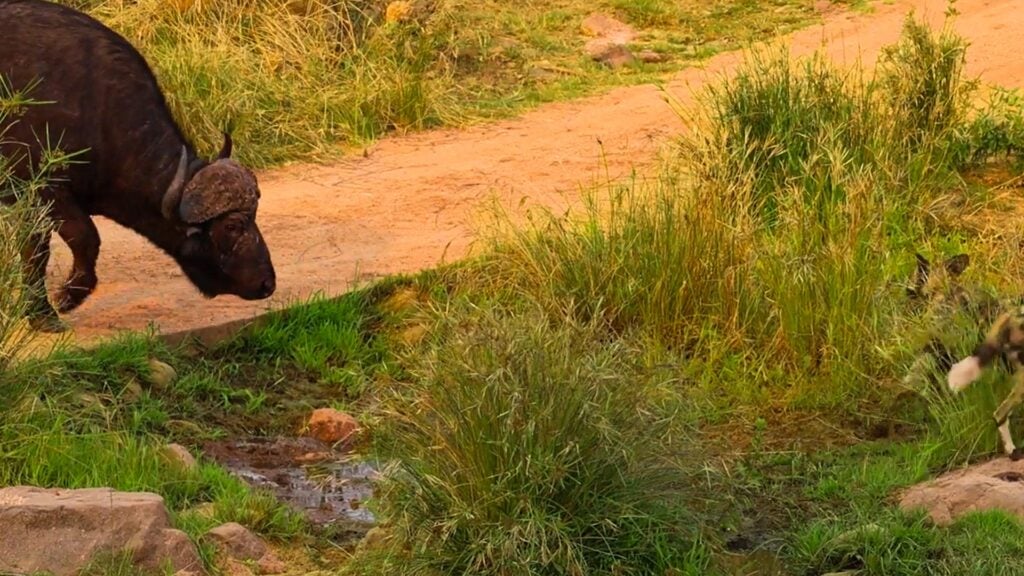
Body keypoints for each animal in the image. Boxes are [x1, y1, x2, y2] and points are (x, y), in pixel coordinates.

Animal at [0, 0, 276, 332]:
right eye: (233, 226)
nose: (267, 283)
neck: (96, 108)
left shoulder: (29, 204)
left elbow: (34, 250)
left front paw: (39, 313)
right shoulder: (44, 190)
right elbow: (85, 237)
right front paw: (64, 300)